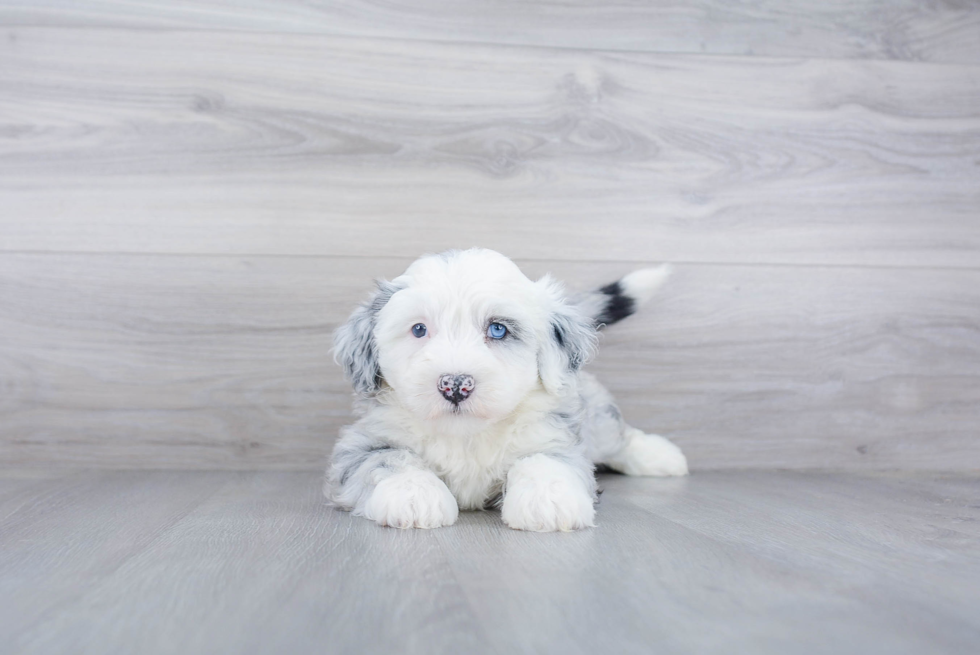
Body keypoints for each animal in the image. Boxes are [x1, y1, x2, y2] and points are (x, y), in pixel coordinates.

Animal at [326, 249, 684, 532]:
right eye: (418, 329)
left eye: (498, 329)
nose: (455, 385)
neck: (466, 436)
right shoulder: (362, 442)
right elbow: (388, 459)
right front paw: (414, 495)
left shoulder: (555, 432)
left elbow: (543, 457)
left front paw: (548, 500)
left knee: (615, 433)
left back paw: (662, 456)